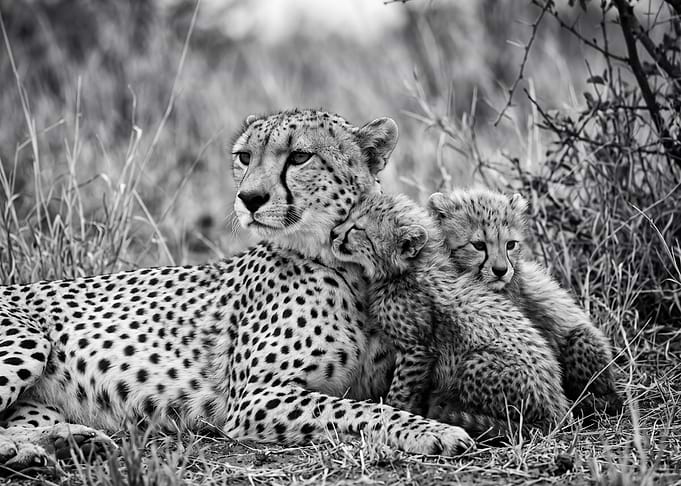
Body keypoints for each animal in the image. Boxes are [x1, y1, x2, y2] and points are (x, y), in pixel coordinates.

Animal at [0, 109, 474, 471]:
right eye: (245, 156)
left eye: (300, 156)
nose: (249, 198)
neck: (347, 268)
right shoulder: (254, 399)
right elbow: (361, 409)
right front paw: (436, 432)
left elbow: (383, 400)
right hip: (28, 340)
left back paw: (63, 443)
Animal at [330, 192, 570, 444]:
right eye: (348, 217)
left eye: (358, 229)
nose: (334, 234)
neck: (411, 268)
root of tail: (557, 410)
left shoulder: (417, 349)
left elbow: (401, 390)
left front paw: (394, 413)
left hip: (474, 363)